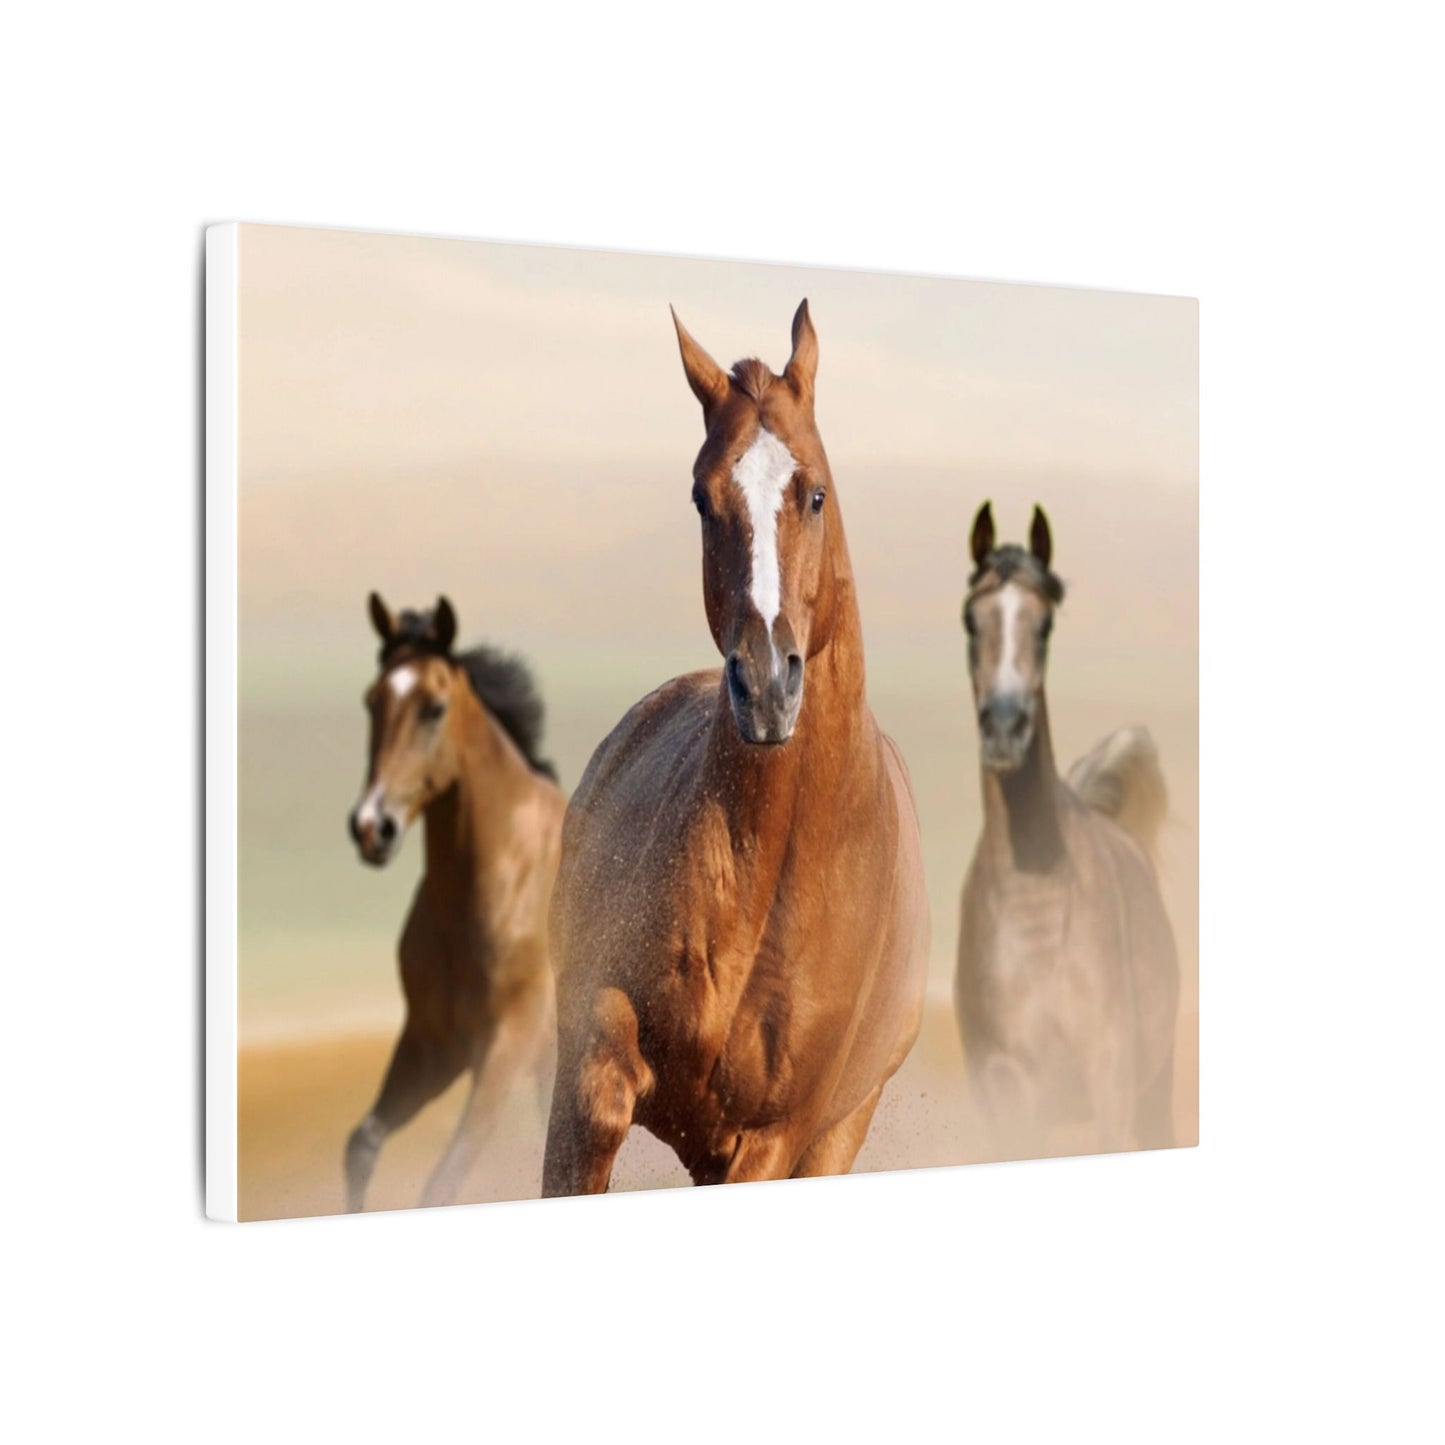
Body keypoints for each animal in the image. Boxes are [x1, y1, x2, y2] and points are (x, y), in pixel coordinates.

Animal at [344, 593, 566, 1210]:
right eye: (372, 701)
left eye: (434, 707)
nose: (372, 827)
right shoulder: (432, 1045)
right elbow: (362, 1145)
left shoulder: (507, 1048)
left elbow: (442, 1183)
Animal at [542, 301, 930, 1195]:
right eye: (700, 496)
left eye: (814, 492)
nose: (765, 684)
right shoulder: (593, 1054)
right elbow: (598, 1101)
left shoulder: (773, 1137)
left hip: (834, 1131)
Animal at [954, 503, 1179, 1157]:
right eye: (970, 620)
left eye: (1045, 624)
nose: (1005, 728)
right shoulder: (1006, 1097)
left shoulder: (1111, 1087)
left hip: (1155, 1093)